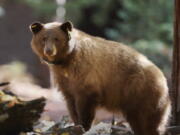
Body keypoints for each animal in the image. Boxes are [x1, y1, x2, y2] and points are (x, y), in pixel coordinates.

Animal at [29, 21, 172, 135]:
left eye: (56, 39)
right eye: (43, 38)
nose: (49, 51)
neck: (67, 60)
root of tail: (163, 79)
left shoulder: (85, 75)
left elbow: (85, 103)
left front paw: (83, 126)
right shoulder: (64, 80)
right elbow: (70, 102)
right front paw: (75, 124)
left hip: (141, 93)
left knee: (149, 121)